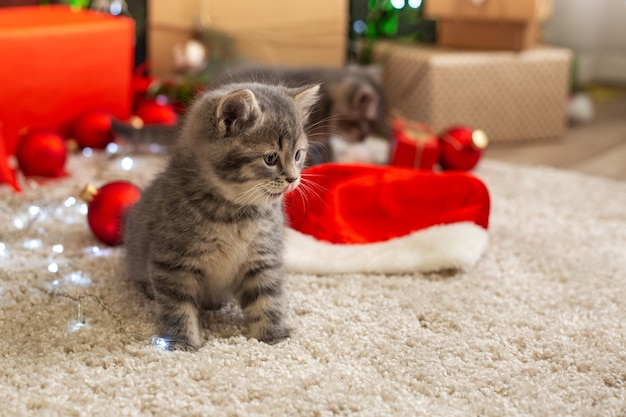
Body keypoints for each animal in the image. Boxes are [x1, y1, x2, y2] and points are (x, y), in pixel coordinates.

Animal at [123, 80, 316, 348]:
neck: (236, 214)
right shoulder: (171, 262)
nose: (293, 179)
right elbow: (177, 306)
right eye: (270, 158)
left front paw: (271, 336)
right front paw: (182, 340)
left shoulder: (263, 259)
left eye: (298, 155)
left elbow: (267, 299)